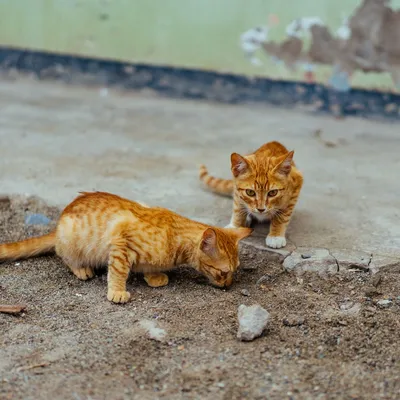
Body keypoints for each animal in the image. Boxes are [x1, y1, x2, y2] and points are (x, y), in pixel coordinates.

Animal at [0, 191, 250, 304]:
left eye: (234, 272)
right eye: (223, 272)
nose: (228, 285)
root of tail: (60, 219)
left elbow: (150, 266)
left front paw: (154, 276)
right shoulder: (121, 242)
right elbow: (118, 271)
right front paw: (117, 291)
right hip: (71, 240)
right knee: (64, 256)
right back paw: (81, 268)